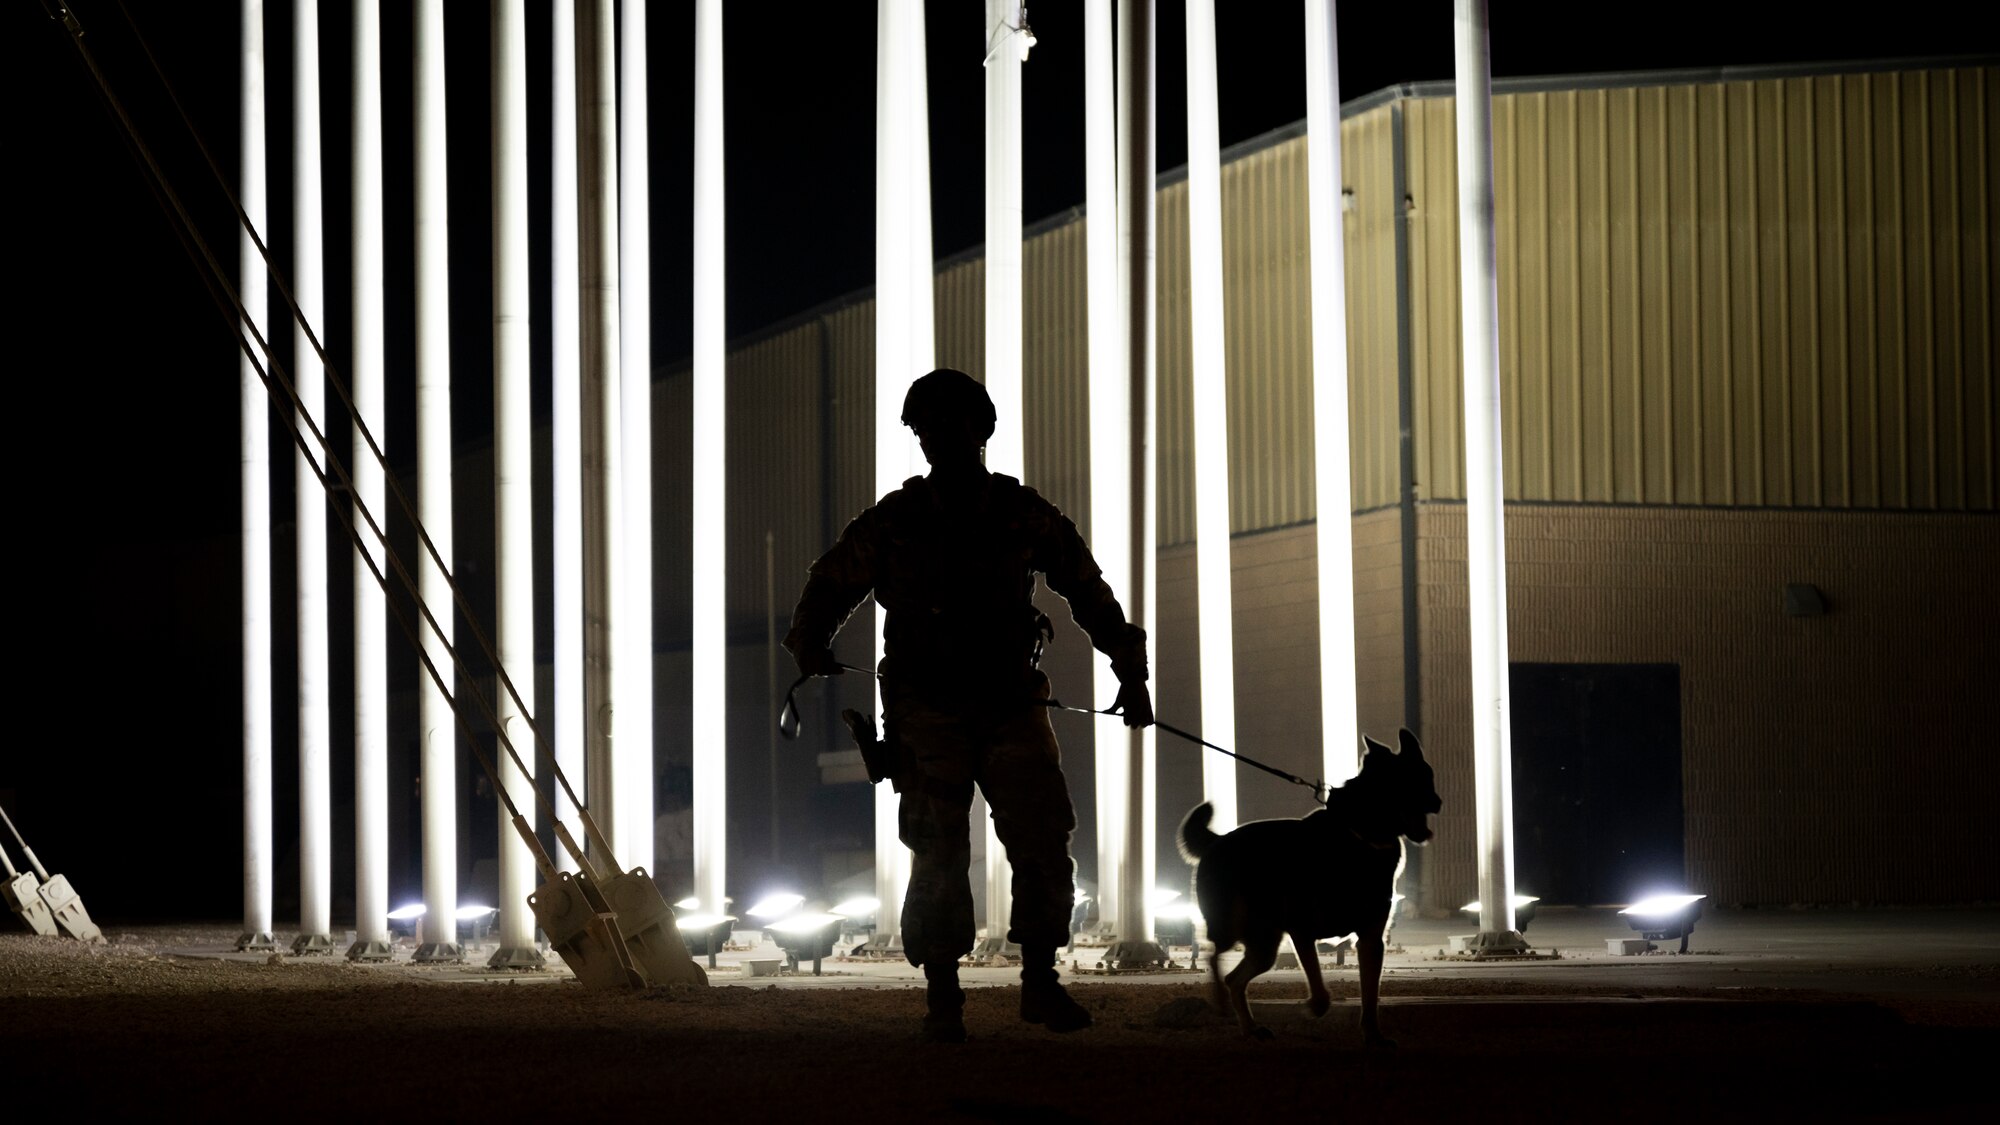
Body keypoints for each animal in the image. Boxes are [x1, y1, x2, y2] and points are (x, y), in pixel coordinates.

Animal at [1168, 728, 1440, 1040]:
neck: (1359, 835)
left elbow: (1370, 996)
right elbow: (1321, 993)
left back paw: (1251, 1027)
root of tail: (1217, 840)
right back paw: (1223, 1004)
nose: (1438, 802)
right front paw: (1311, 1008)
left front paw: (1373, 1036)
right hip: (1232, 929)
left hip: (1264, 946)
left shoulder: (1370, 939)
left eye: (1427, 776)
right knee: (1213, 959)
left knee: (1234, 978)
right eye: (1407, 779)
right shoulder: (1303, 931)